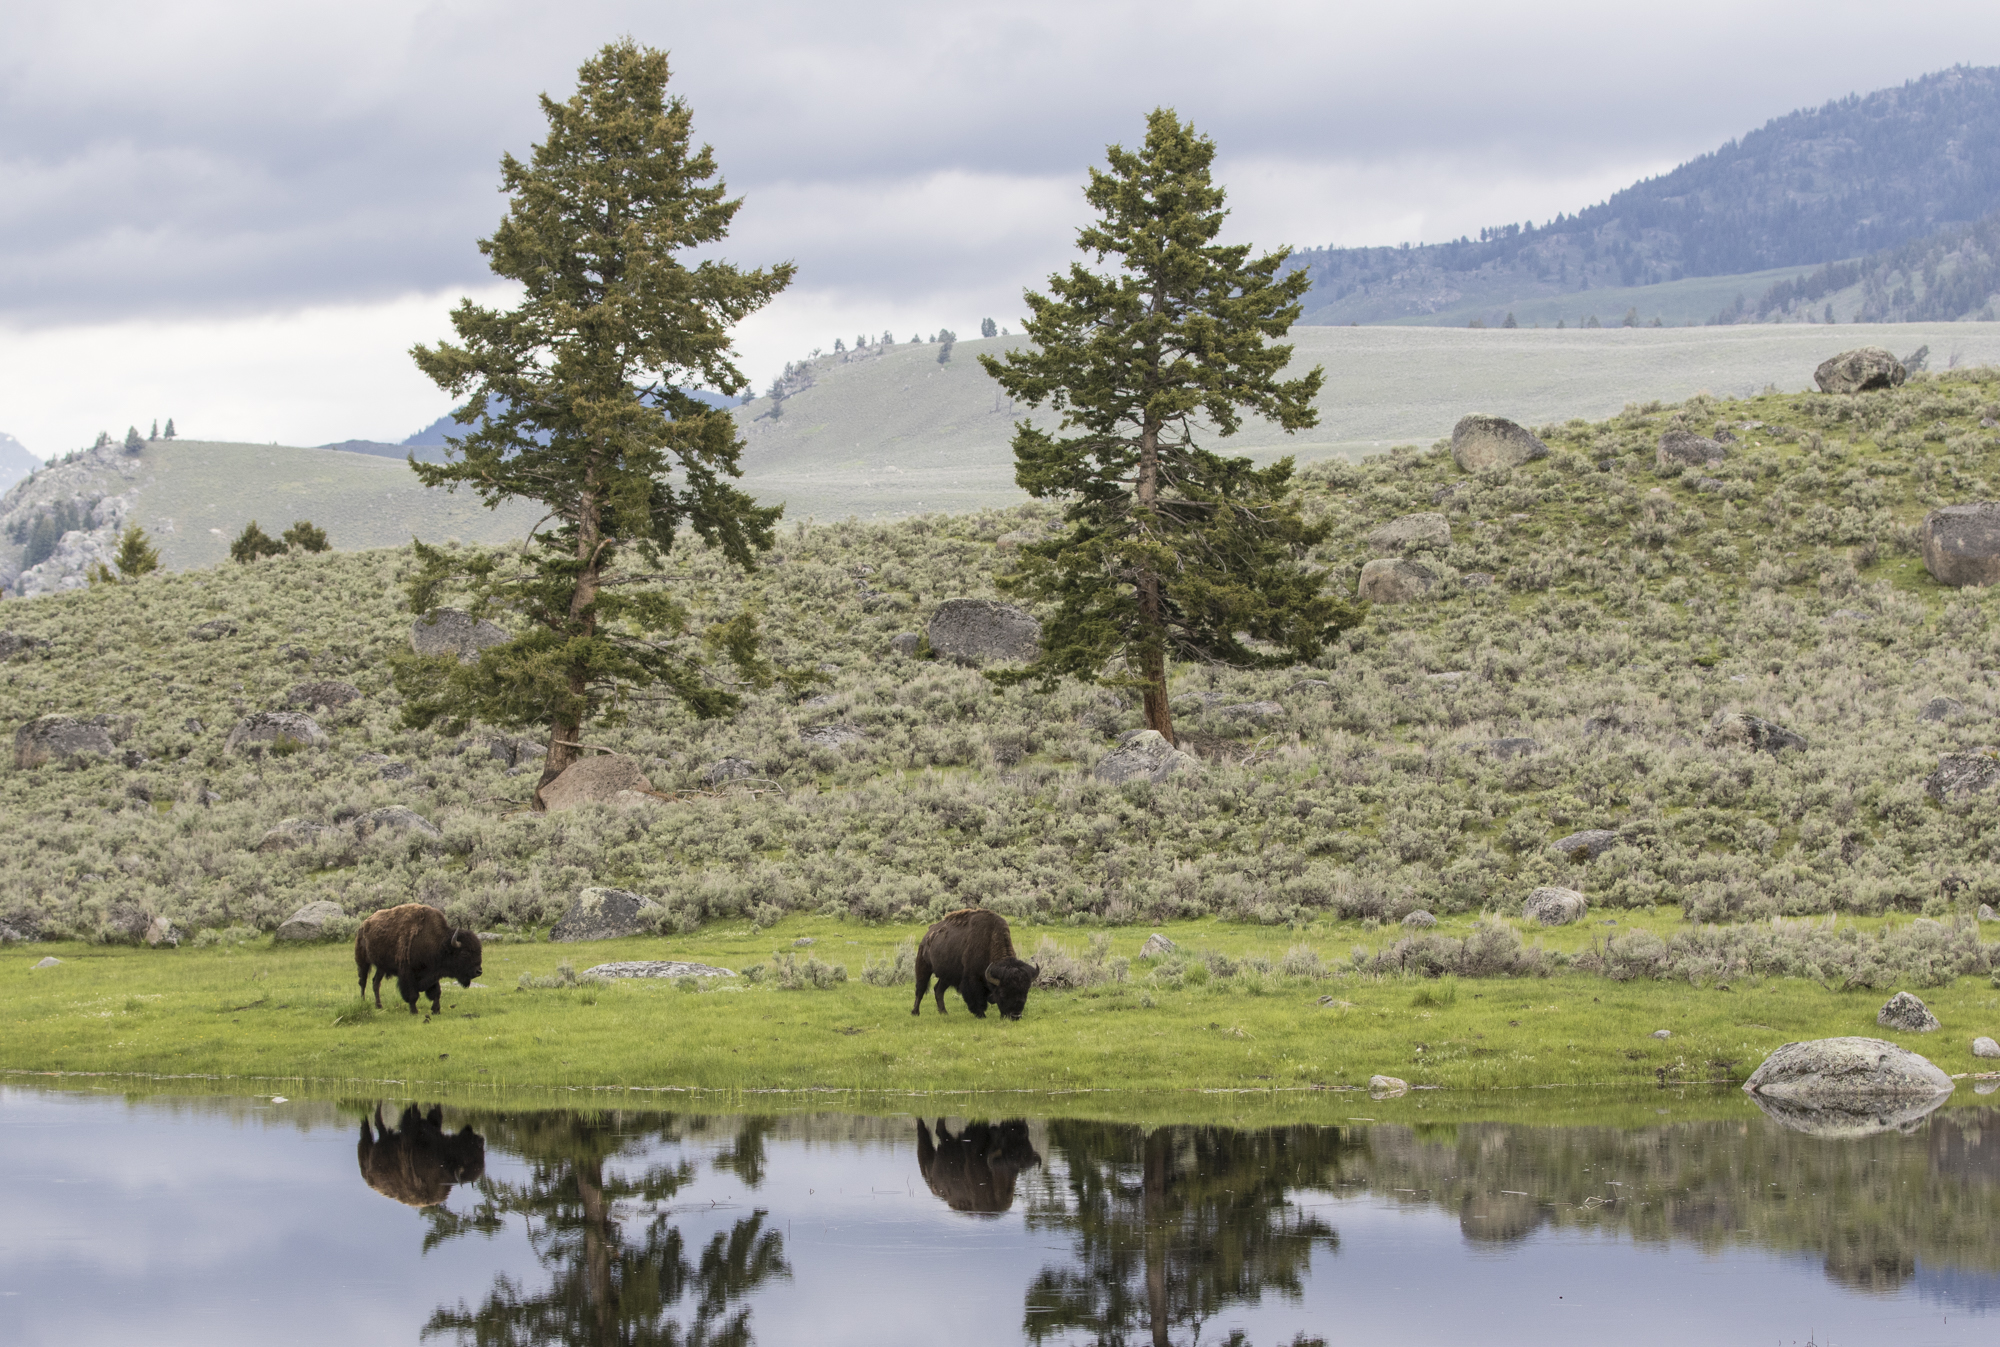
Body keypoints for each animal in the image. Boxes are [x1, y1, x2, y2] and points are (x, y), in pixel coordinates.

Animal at [354, 902, 482, 1015]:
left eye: (479, 950)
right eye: (464, 953)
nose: (479, 971)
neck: (437, 942)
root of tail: (364, 924)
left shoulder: (433, 974)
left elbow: (436, 992)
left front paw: (436, 1010)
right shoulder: (407, 974)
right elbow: (413, 995)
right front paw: (414, 1011)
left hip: (381, 966)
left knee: (376, 982)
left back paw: (379, 1006)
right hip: (363, 961)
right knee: (363, 981)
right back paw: (363, 1001)